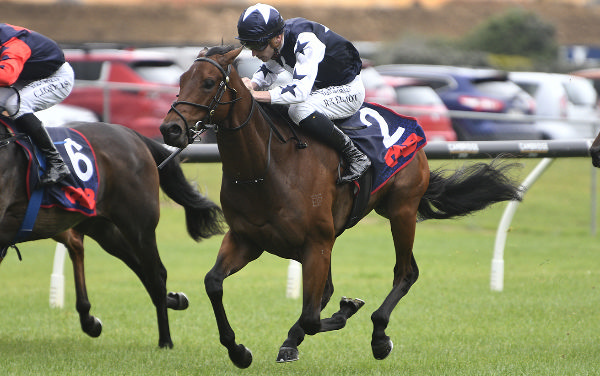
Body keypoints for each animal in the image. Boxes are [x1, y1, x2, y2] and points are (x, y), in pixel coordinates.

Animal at [0, 116, 225, 348]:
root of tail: (130, 133)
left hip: (137, 225)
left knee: (156, 274)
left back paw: (165, 339)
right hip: (97, 225)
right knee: (128, 262)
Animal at [159, 46, 520, 368]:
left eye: (208, 82)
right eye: (181, 79)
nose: (170, 128)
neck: (265, 168)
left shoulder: (316, 244)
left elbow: (312, 318)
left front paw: (347, 311)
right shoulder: (247, 240)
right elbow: (213, 283)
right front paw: (238, 351)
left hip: (401, 211)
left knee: (405, 272)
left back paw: (378, 336)